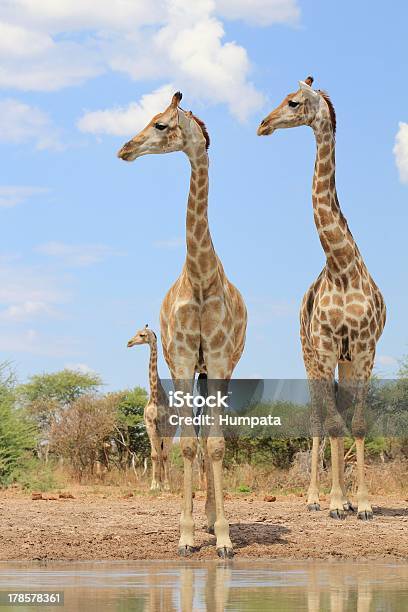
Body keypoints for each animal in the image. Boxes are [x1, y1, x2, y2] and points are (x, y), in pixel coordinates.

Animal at [127, 326, 175, 492]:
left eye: (142, 335)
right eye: (136, 333)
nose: (129, 342)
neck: (155, 396)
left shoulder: (165, 426)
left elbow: (164, 455)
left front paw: (166, 485)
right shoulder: (150, 425)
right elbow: (154, 455)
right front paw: (154, 485)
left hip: (170, 433)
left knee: (165, 454)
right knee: (159, 454)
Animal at [258, 76, 386, 520]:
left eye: (293, 102)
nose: (263, 124)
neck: (341, 266)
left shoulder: (364, 349)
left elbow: (356, 424)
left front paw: (361, 503)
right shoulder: (327, 346)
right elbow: (331, 424)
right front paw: (334, 501)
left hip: (344, 362)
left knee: (338, 417)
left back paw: (342, 498)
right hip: (309, 355)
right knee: (318, 420)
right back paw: (318, 498)